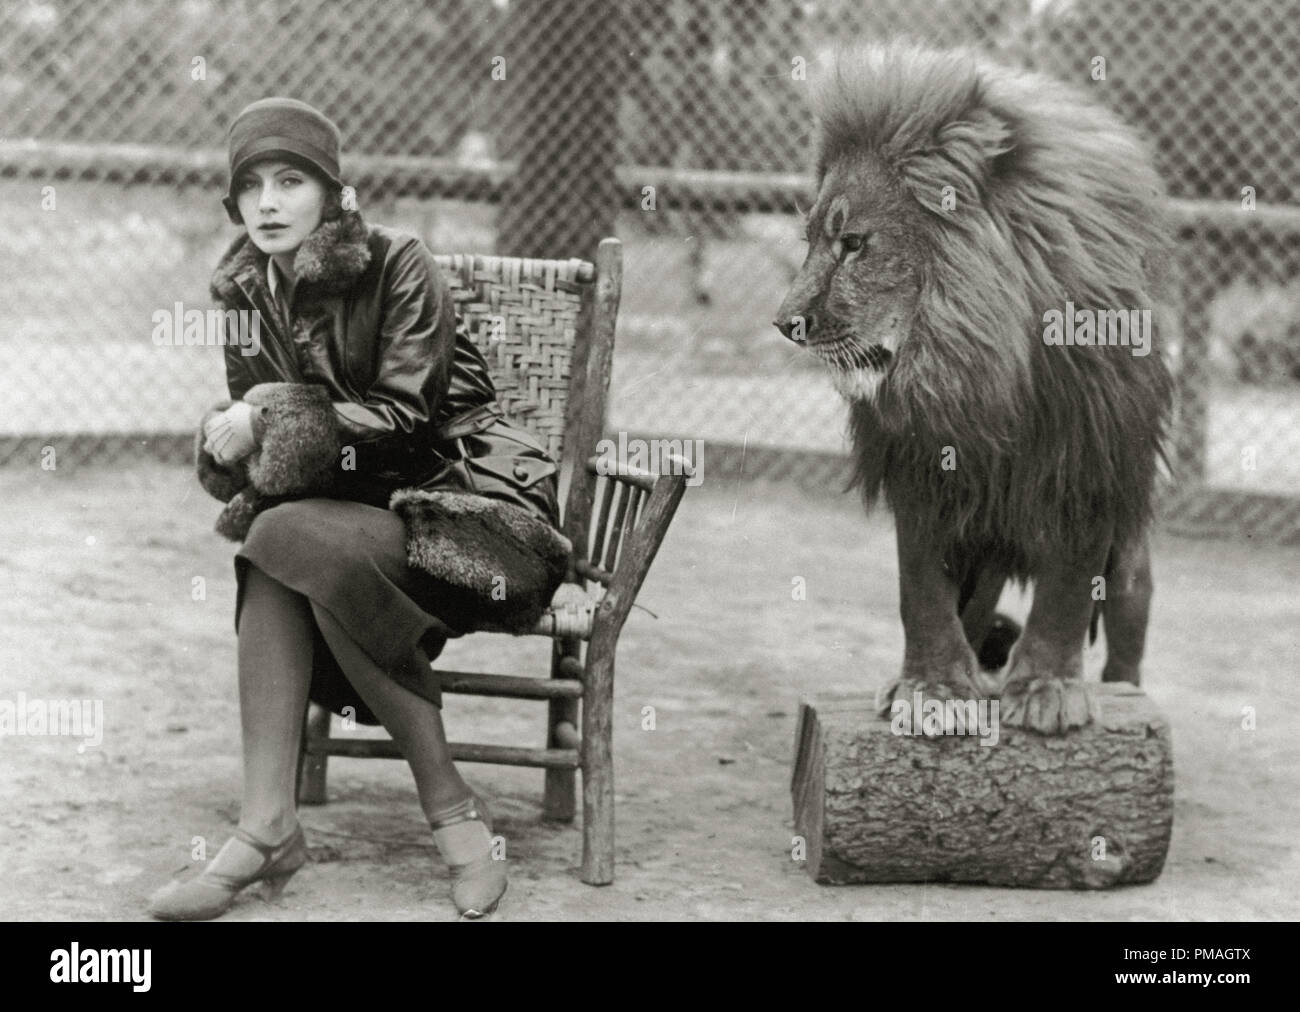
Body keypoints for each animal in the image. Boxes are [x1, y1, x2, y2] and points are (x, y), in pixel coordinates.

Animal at [769, 41, 1180, 733]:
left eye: (853, 244)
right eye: (811, 242)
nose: (785, 323)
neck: (977, 367)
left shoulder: (1089, 462)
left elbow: (1067, 591)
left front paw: (1046, 690)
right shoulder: (922, 465)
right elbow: (922, 592)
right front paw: (932, 692)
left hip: (1128, 563)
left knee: (1127, 622)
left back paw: (1121, 689)